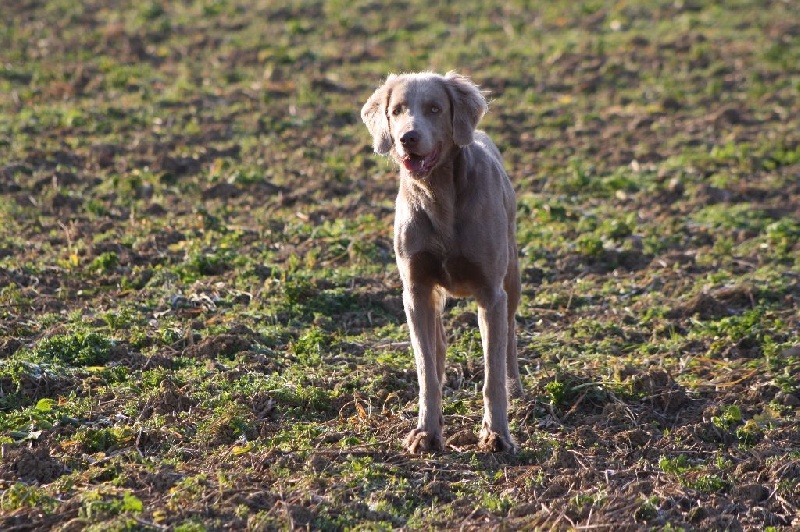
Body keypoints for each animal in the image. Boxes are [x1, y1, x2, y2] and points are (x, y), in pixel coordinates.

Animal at [362, 70, 524, 454]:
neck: (439, 195)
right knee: (437, 347)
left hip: (512, 276)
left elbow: (492, 374)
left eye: (435, 108)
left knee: (509, 333)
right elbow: (426, 371)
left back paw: (516, 386)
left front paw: (497, 434)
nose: (407, 138)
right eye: (397, 110)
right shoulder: (416, 290)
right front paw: (427, 431)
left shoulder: (491, 293)